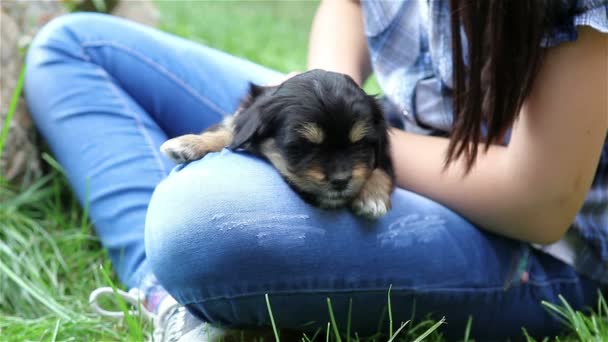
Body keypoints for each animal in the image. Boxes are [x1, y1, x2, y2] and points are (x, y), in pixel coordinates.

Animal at [160, 69, 394, 218]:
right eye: (305, 146)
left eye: (360, 144)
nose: (341, 180)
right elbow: (230, 132)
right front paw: (188, 143)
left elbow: (381, 169)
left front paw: (373, 197)